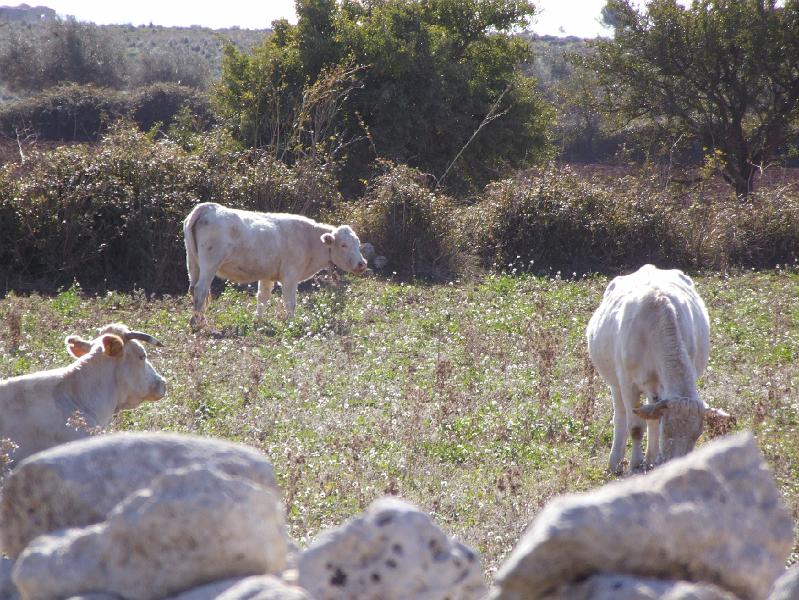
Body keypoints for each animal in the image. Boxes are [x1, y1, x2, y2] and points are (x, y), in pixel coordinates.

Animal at [183, 202, 368, 326]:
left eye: (358, 243)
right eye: (343, 245)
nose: (362, 263)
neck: (308, 240)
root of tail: (209, 207)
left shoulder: (267, 276)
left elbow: (262, 298)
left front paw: (258, 321)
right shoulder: (290, 276)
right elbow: (290, 301)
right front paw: (292, 323)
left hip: (192, 262)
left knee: (193, 289)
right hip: (209, 264)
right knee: (201, 289)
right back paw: (198, 322)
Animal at [584, 264, 728, 474]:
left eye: (697, 434)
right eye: (667, 431)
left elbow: (652, 420)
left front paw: (653, 462)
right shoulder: (628, 384)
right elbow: (636, 427)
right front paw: (635, 466)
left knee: (650, 417)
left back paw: (651, 459)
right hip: (615, 383)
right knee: (620, 415)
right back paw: (615, 462)